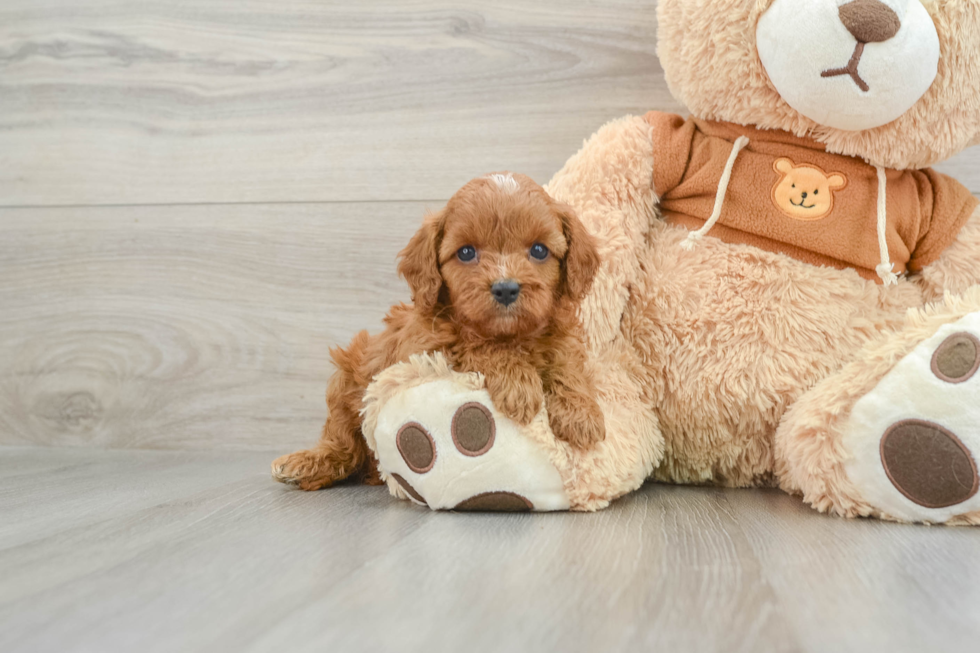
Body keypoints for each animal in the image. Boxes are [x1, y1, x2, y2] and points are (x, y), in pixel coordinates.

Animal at [274, 172, 604, 488]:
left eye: (538, 250)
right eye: (466, 252)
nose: (506, 289)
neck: (510, 334)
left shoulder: (560, 336)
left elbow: (565, 362)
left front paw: (580, 413)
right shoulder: (426, 352)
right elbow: (476, 346)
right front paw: (518, 384)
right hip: (346, 378)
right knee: (343, 443)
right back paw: (307, 463)